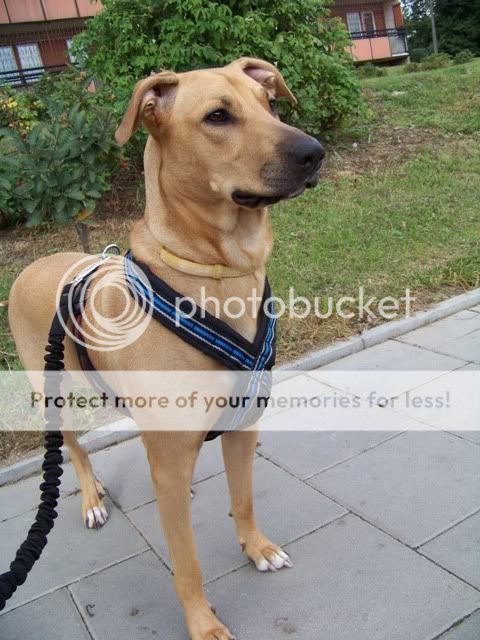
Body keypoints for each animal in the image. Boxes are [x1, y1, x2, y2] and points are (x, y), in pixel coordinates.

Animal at [9, 58, 324, 639]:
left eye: (269, 104)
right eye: (218, 116)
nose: (313, 151)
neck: (216, 271)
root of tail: (32, 267)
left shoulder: (243, 426)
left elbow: (243, 499)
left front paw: (256, 548)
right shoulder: (172, 465)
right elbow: (187, 562)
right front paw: (203, 624)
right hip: (53, 394)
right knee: (74, 448)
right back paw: (91, 498)